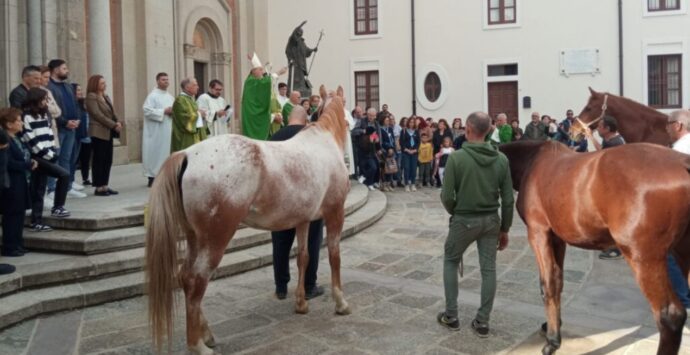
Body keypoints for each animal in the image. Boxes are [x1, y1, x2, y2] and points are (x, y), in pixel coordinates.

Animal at [498, 140, 688, 355]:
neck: (533, 161)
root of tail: (682, 163)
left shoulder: (538, 233)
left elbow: (548, 284)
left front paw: (553, 341)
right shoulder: (557, 238)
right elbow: (558, 281)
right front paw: (553, 326)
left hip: (644, 258)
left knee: (670, 317)